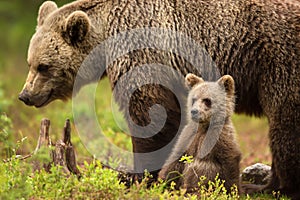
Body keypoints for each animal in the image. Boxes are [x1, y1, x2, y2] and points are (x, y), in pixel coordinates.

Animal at [18, 0, 298, 198]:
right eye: (30, 62)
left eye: (44, 66)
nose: (25, 95)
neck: (106, 35)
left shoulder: (142, 50)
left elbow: (150, 115)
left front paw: (139, 176)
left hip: (279, 63)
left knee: (285, 124)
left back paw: (270, 186)